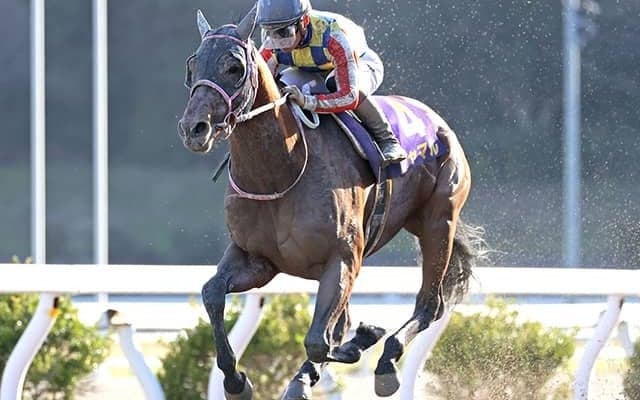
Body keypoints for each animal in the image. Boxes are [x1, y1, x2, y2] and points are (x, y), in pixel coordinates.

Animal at [177, 7, 483, 400]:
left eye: (234, 67)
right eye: (192, 65)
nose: (193, 129)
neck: (281, 171)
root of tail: (435, 120)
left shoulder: (342, 259)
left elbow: (321, 341)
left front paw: (363, 339)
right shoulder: (256, 259)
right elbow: (212, 294)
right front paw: (237, 382)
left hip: (437, 222)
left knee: (430, 304)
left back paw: (385, 363)